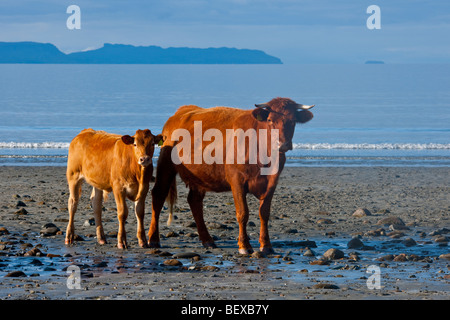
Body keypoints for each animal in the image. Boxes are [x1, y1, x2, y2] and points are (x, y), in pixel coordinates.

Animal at [149, 97, 314, 252]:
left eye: (293, 121)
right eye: (269, 120)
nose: (283, 144)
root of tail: (180, 113)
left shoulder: (272, 182)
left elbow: (264, 213)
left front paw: (266, 245)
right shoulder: (237, 180)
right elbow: (243, 213)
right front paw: (244, 246)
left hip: (199, 177)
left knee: (195, 201)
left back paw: (207, 240)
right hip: (166, 164)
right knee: (158, 195)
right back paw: (153, 239)